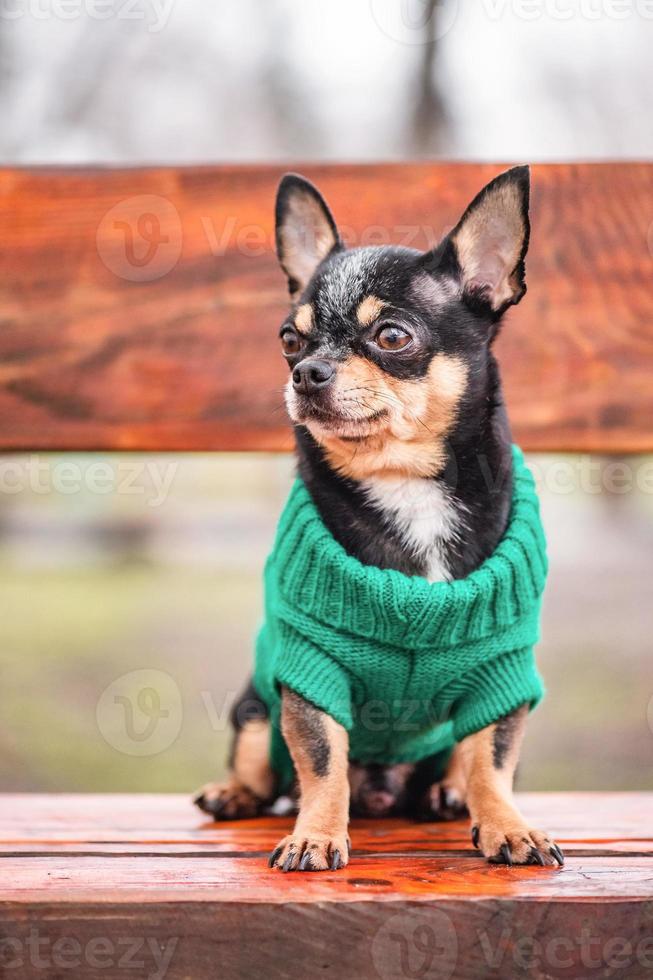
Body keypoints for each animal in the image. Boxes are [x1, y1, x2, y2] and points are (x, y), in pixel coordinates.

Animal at [196, 168, 564, 872]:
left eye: (392, 336)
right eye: (289, 341)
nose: (306, 372)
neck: (403, 482)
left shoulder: (501, 671)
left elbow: (493, 758)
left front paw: (508, 825)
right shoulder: (309, 668)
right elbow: (321, 760)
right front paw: (315, 834)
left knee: (459, 761)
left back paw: (448, 795)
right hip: (254, 705)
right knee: (263, 762)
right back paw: (234, 792)